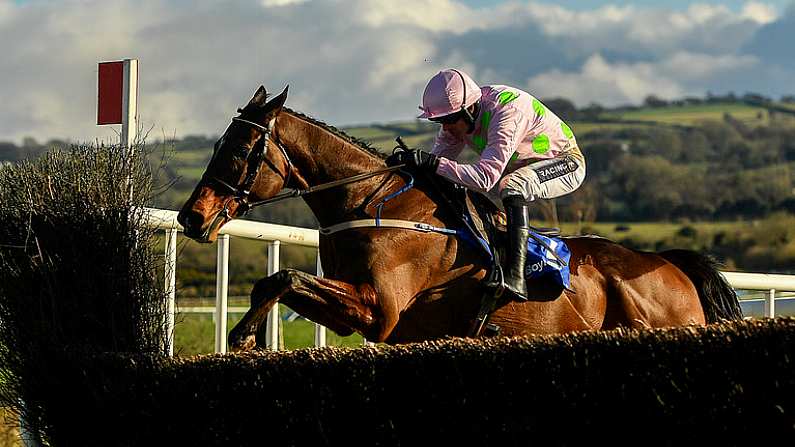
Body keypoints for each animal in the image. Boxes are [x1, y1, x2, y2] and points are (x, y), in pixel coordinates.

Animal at [177, 84, 744, 350]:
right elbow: (274, 281)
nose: (190, 217)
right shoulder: (361, 316)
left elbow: (283, 277)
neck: (370, 203)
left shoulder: (378, 309)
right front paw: (248, 336)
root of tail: (669, 264)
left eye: (241, 149)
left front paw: (242, 336)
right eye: (218, 144)